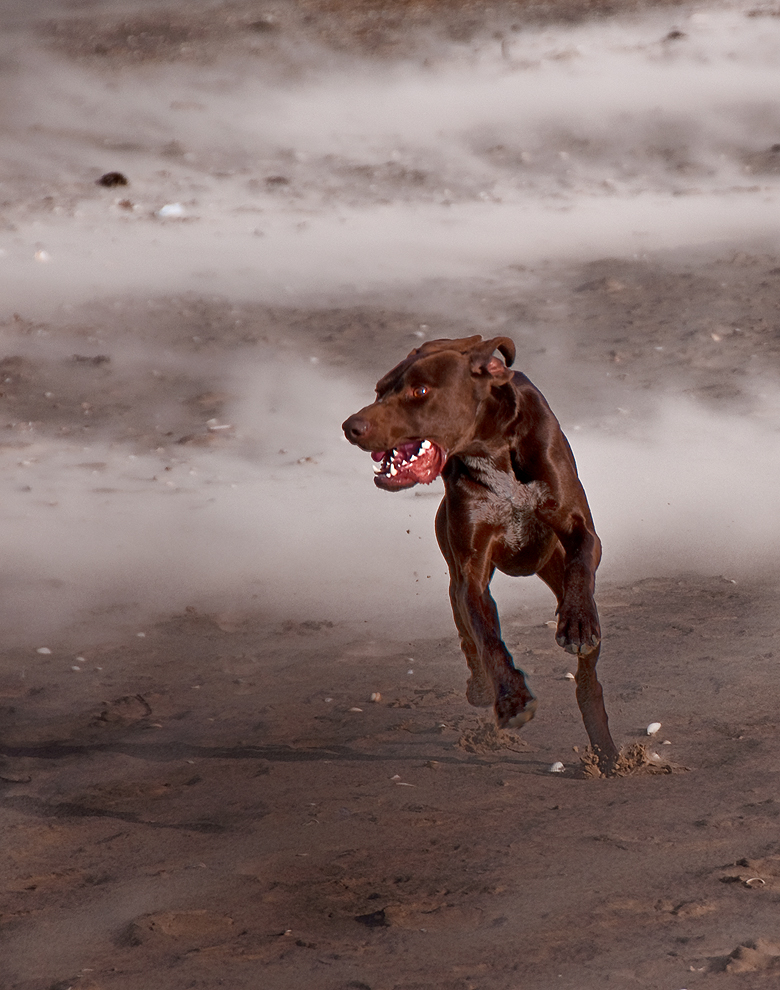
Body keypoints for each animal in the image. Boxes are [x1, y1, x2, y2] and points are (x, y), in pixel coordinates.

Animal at [344, 334, 620, 776]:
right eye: (378, 390)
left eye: (419, 391)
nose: (351, 426)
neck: (491, 447)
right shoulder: (471, 571)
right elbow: (488, 639)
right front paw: (510, 699)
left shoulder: (581, 531)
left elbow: (581, 565)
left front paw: (577, 622)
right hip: (455, 570)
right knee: (464, 626)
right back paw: (479, 686)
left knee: (587, 680)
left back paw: (605, 751)